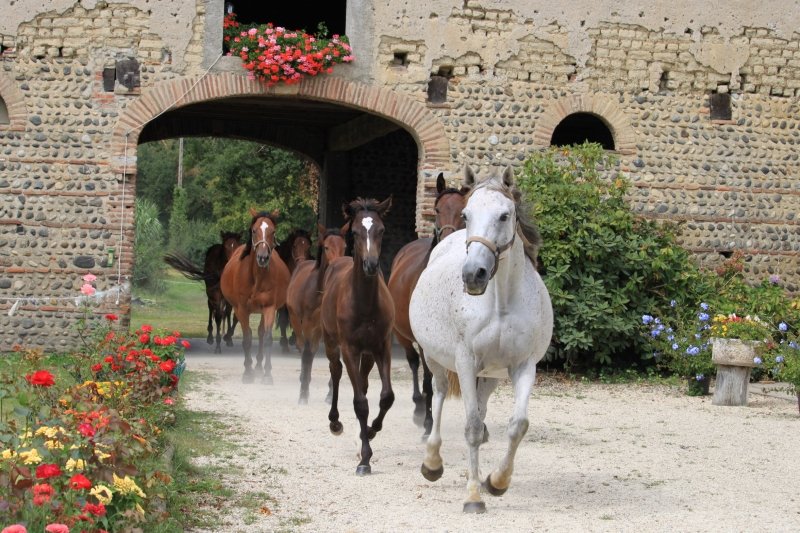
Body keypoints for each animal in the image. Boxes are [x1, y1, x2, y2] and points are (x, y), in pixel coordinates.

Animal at [220, 209, 290, 384]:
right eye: (254, 230)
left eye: (273, 231)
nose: (263, 257)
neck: (257, 277)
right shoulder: (241, 310)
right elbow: (247, 339)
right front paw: (247, 373)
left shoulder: (270, 308)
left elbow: (267, 338)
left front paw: (267, 374)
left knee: (260, 333)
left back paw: (259, 367)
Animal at [285, 223, 347, 404]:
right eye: (326, 247)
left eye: (344, 246)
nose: (337, 265)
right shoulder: (307, 324)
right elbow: (307, 353)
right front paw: (303, 394)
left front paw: (331, 393)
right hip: (297, 321)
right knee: (304, 348)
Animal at [320, 197, 395, 475]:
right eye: (354, 232)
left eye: (381, 230)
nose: (371, 265)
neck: (364, 303)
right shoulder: (349, 348)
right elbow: (360, 403)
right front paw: (365, 459)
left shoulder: (382, 347)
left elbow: (386, 397)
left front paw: (370, 432)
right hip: (331, 342)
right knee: (336, 372)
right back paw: (335, 423)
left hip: (368, 354)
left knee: (362, 383)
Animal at [387, 173, 470, 436]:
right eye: (437, 209)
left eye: (463, 212)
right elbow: (428, 379)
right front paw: (428, 423)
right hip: (402, 334)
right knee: (414, 364)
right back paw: (419, 409)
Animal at [409, 165, 553, 513]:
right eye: (467, 214)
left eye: (504, 215)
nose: (473, 274)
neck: (500, 302)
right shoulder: (464, 361)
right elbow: (471, 428)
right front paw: (473, 497)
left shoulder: (524, 366)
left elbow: (517, 425)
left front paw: (496, 482)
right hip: (435, 360)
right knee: (439, 396)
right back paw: (432, 462)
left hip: (490, 375)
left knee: (482, 409)